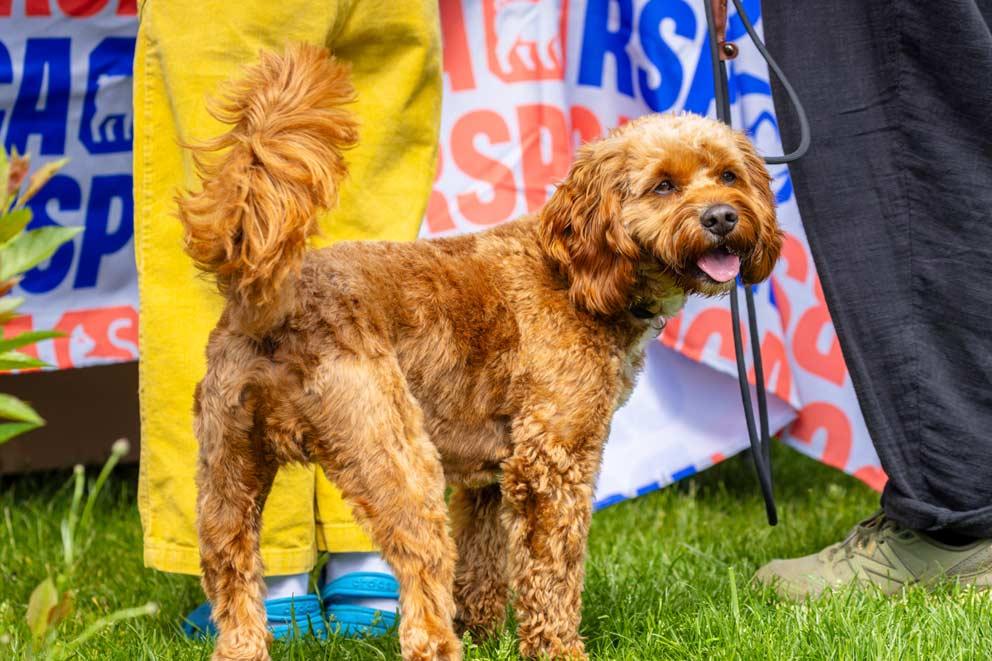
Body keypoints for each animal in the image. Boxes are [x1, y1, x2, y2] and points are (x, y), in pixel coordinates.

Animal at [180, 43, 784, 656]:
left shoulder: (491, 473)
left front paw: (483, 629)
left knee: (232, 573)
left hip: (225, 474)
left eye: (729, 175)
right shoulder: (551, 462)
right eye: (663, 185)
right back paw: (441, 644)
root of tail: (275, 304)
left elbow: (483, 559)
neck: (574, 274)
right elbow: (551, 573)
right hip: (393, 454)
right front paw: (557, 648)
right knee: (421, 579)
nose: (722, 216)